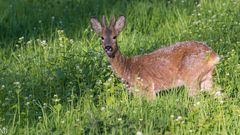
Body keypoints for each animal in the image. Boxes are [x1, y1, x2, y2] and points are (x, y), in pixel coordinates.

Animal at [90, 15, 219, 99]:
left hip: (191, 76)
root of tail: (214, 56)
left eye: (115, 37)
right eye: (101, 37)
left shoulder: (148, 87)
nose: (108, 47)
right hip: (206, 78)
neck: (128, 68)